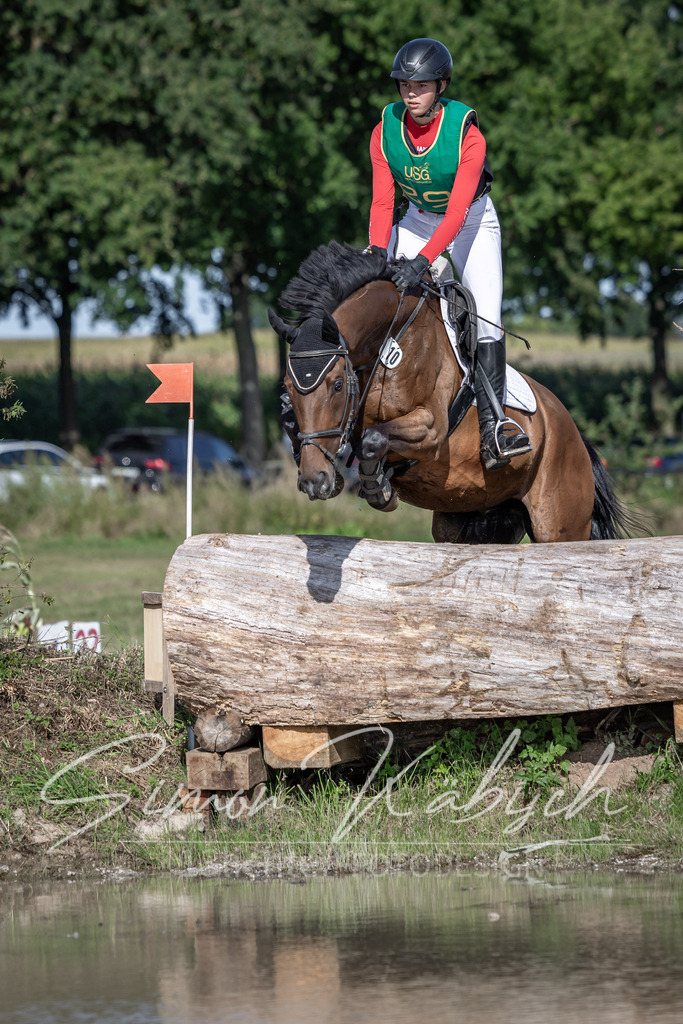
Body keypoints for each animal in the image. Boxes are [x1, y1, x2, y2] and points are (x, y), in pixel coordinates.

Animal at [268, 241, 633, 544]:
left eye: (337, 385)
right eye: (288, 388)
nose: (315, 481)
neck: (387, 341)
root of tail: (574, 434)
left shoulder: (431, 429)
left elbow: (373, 439)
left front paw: (380, 490)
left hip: (558, 522)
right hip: (474, 518)